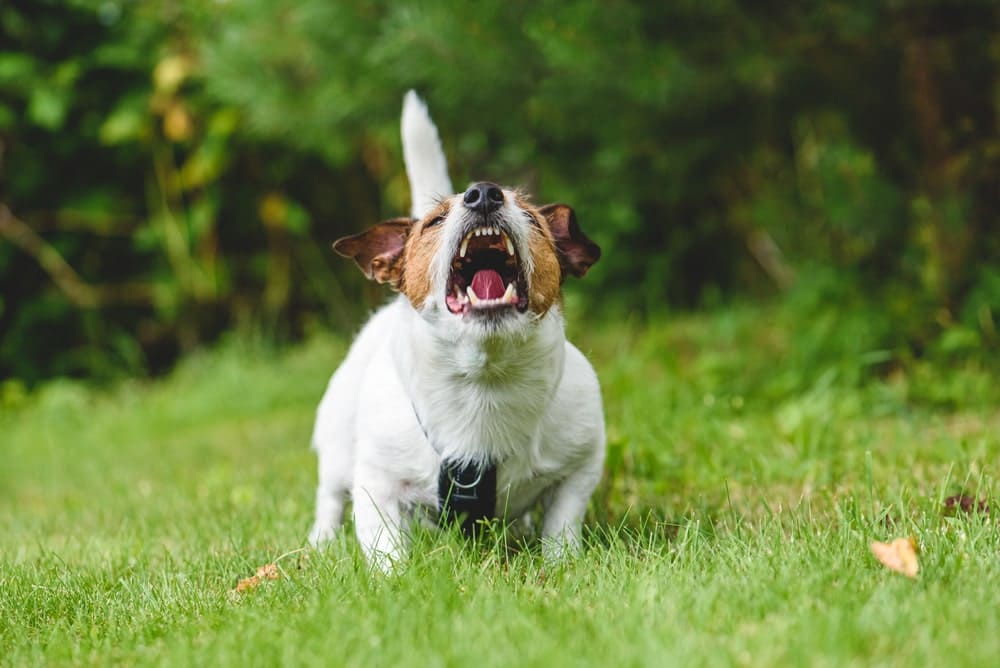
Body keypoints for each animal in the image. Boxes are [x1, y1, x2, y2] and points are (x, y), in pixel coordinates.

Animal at [308, 90, 604, 568]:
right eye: (433, 222)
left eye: (531, 217)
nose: (483, 193)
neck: (483, 383)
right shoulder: (376, 480)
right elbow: (383, 542)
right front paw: (394, 577)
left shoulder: (581, 465)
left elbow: (562, 524)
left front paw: (560, 564)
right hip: (336, 445)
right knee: (330, 497)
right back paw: (321, 541)